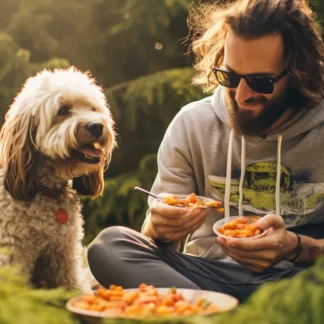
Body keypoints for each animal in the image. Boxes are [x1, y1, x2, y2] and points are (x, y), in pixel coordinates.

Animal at [0, 67, 117, 292]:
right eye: (62, 110)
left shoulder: (63, 253)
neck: (45, 190)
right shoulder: (11, 254)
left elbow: (72, 285)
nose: (98, 126)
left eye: (92, 108)